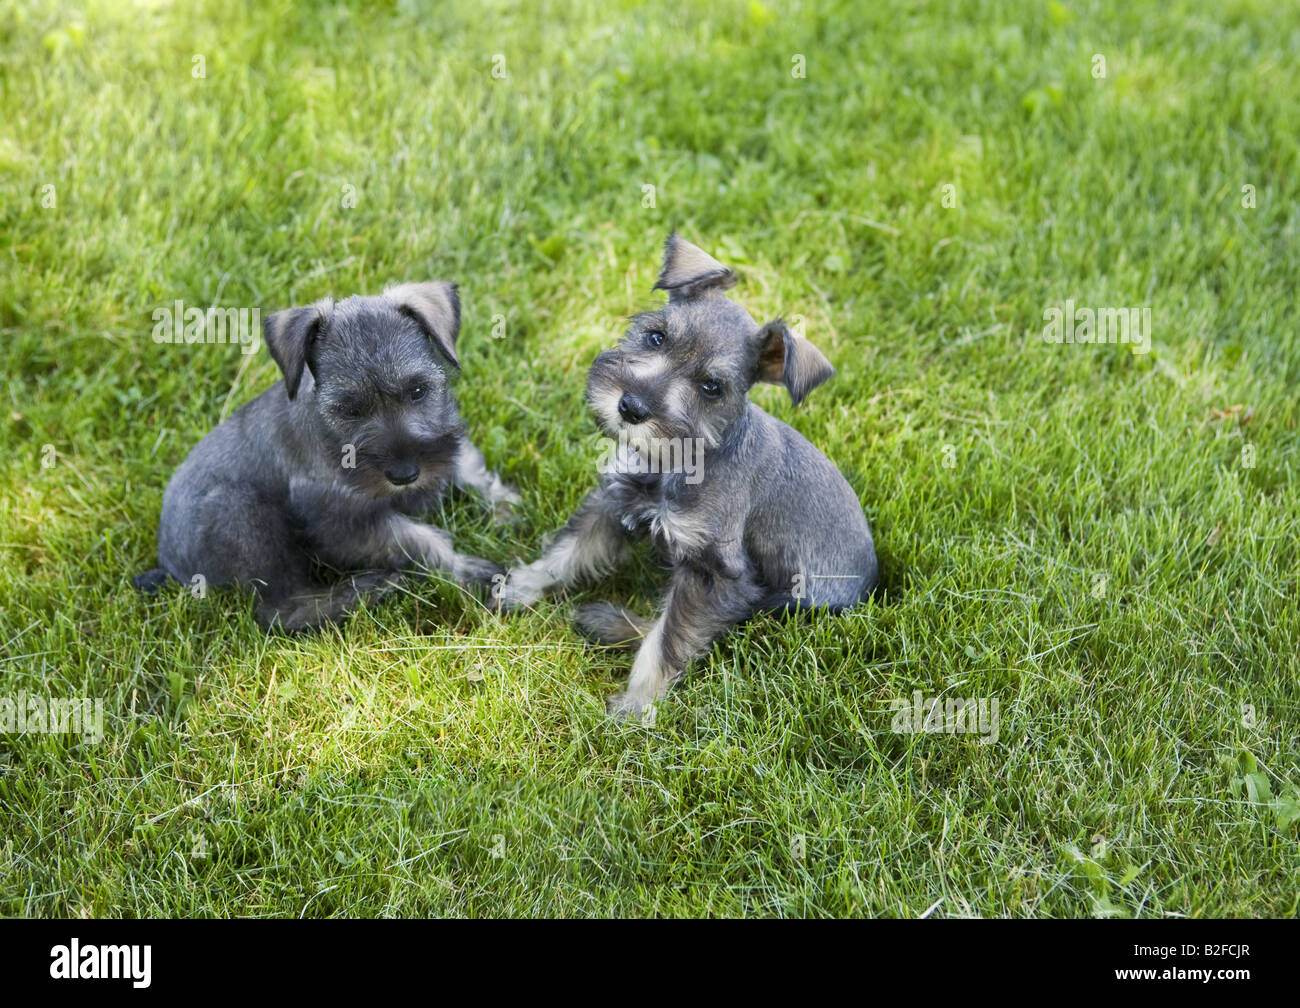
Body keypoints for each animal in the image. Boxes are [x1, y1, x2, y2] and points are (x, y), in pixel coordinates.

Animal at [133, 283, 517, 629]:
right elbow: (419, 541)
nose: (405, 473)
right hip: (239, 512)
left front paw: (504, 507)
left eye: (419, 390)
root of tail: (169, 565)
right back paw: (364, 590)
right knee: (280, 609)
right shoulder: (345, 523)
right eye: (348, 409)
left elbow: (467, 465)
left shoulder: (446, 441)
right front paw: (475, 572)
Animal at [491, 234, 878, 717]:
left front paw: (637, 707)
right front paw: (518, 586)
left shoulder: (715, 574)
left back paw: (613, 625)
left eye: (712, 387)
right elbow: (566, 553)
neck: (674, 462)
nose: (631, 407)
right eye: (656, 336)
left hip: (784, 606)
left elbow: (669, 640)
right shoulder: (613, 502)